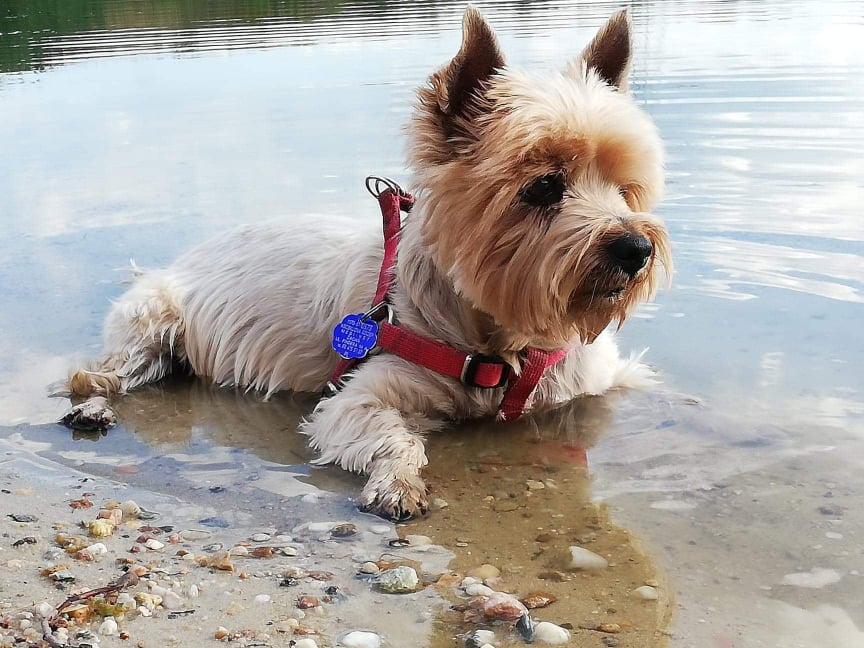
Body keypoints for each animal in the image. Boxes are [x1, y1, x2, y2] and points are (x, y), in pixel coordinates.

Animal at [61, 6, 671, 521]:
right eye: (543, 187)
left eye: (626, 188)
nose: (635, 250)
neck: (503, 344)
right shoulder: (361, 397)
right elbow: (391, 438)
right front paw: (398, 483)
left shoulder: (594, 387)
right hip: (154, 317)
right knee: (110, 370)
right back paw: (93, 403)